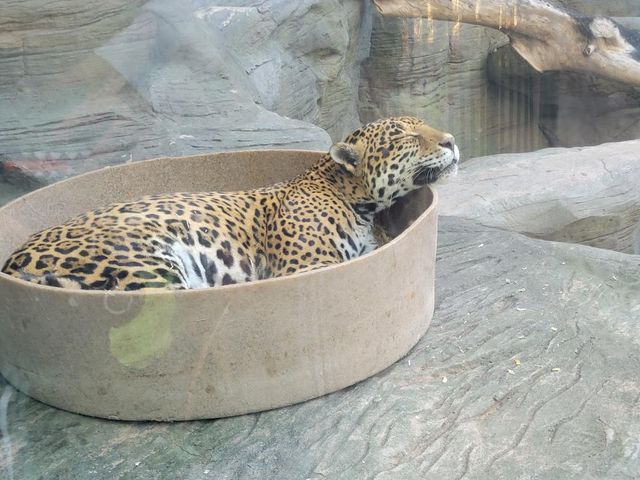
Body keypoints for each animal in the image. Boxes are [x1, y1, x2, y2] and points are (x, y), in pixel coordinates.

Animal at [1, 116, 459, 290]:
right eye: (406, 136)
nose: (452, 140)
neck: (352, 199)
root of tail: (12, 262)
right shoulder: (305, 266)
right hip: (148, 265)